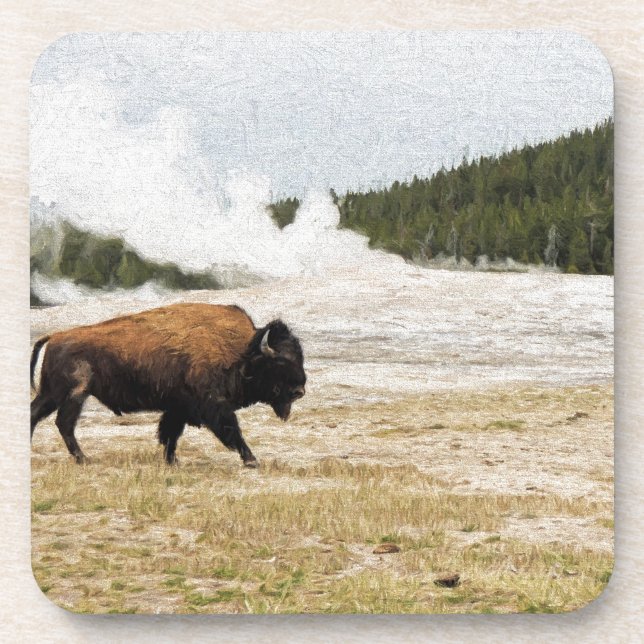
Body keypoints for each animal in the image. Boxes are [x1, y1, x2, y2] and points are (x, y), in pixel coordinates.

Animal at [30, 303, 306, 466]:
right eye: (280, 362)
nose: (299, 391)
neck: (242, 352)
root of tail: (55, 337)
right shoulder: (213, 406)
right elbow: (231, 430)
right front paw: (251, 460)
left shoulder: (178, 408)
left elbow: (170, 434)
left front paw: (172, 461)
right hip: (73, 394)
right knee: (64, 423)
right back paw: (83, 459)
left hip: (52, 393)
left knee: (36, 414)